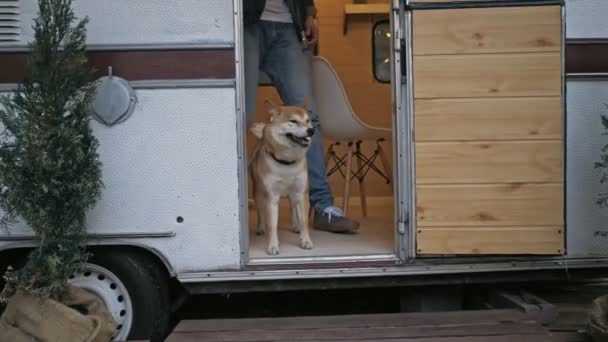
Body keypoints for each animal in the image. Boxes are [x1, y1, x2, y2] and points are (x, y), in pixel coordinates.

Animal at [248, 99, 314, 254]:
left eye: (307, 121)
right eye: (293, 121)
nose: (311, 130)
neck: (287, 162)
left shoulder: (301, 193)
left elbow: (304, 221)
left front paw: (305, 241)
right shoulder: (271, 197)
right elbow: (272, 225)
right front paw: (272, 246)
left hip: (292, 195)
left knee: (292, 208)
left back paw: (295, 226)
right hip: (258, 193)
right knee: (260, 212)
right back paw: (260, 228)